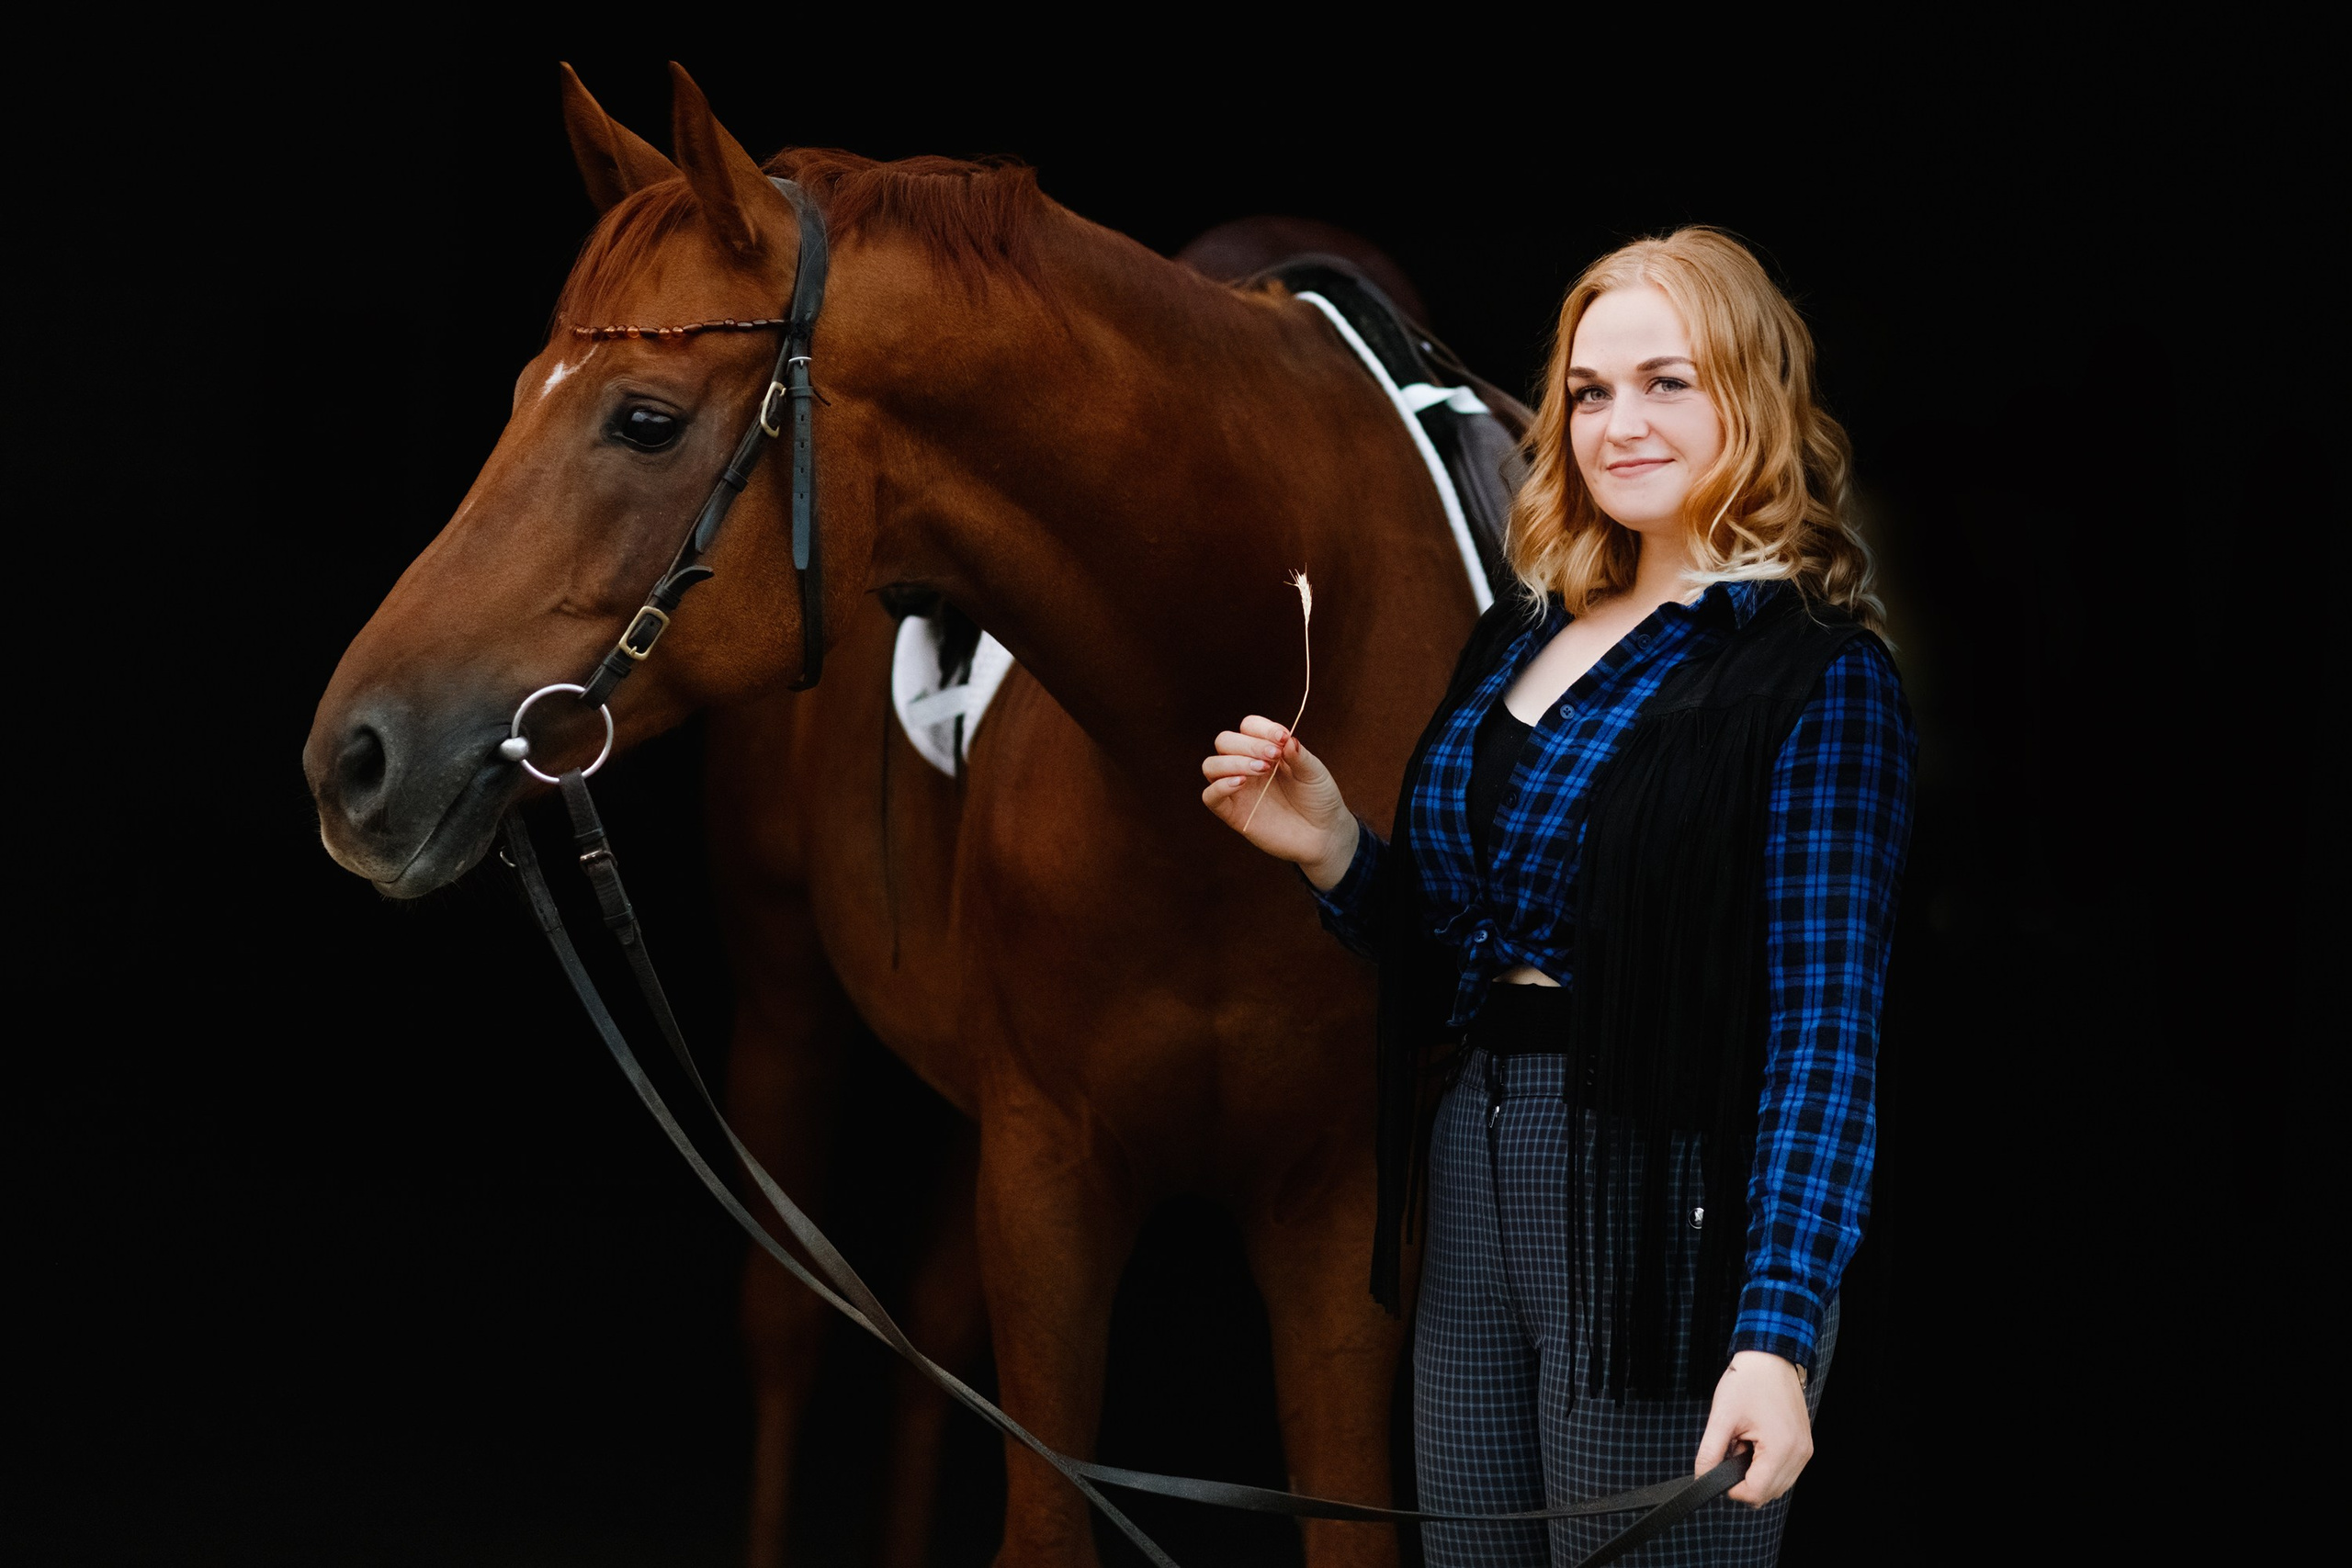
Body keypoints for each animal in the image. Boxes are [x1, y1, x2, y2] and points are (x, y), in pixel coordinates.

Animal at [305, 63, 1486, 1566]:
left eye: (645, 419)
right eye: (519, 396)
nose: (353, 759)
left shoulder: (1341, 1209)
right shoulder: (1049, 1173)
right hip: (788, 996)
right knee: (790, 1328)